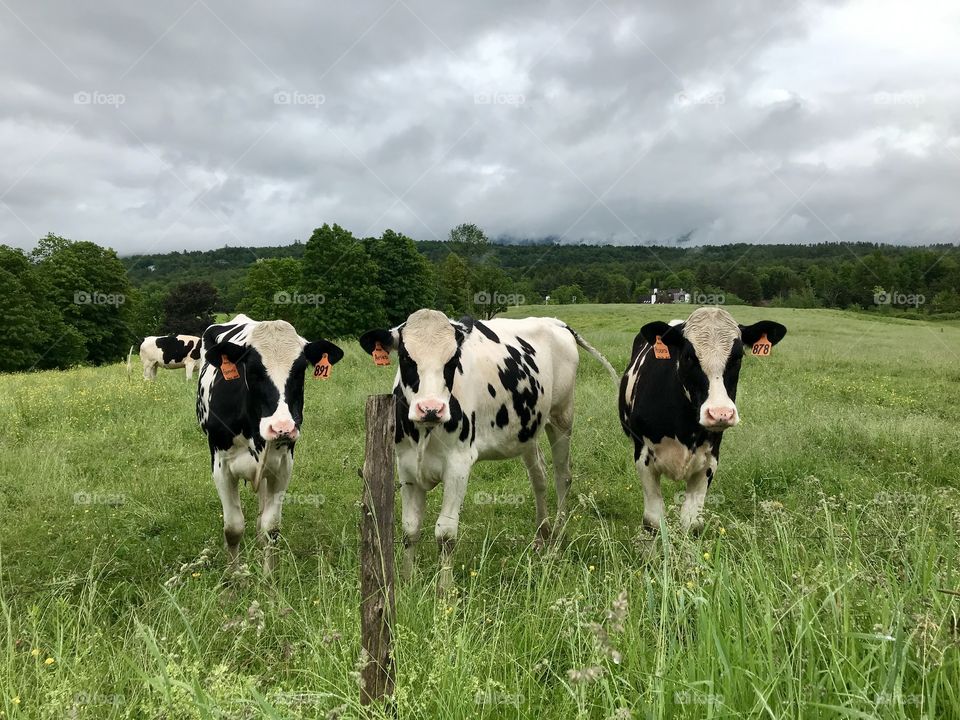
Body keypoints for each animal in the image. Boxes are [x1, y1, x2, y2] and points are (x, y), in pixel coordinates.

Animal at [196, 314, 344, 572]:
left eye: (300, 370)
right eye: (253, 370)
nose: (282, 427)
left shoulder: (283, 465)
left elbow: (271, 527)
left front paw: (268, 577)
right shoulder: (220, 466)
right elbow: (233, 528)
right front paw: (234, 578)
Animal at [358, 308, 616, 584]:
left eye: (453, 360)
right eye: (406, 357)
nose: (431, 408)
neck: (424, 432)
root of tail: (553, 321)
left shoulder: (459, 464)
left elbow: (445, 533)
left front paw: (444, 589)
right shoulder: (405, 466)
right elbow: (410, 528)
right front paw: (408, 580)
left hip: (561, 417)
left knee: (563, 476)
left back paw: (557, 537)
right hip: (527, 427)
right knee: (539, 477)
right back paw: (541, 536)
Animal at [620, 306, 784, 532]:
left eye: (738, 357)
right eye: (689, 356)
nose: (720, 413)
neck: (682, 428)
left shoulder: (710, 460)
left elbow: (692, 522)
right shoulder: (643, 455)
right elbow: (653, 520)